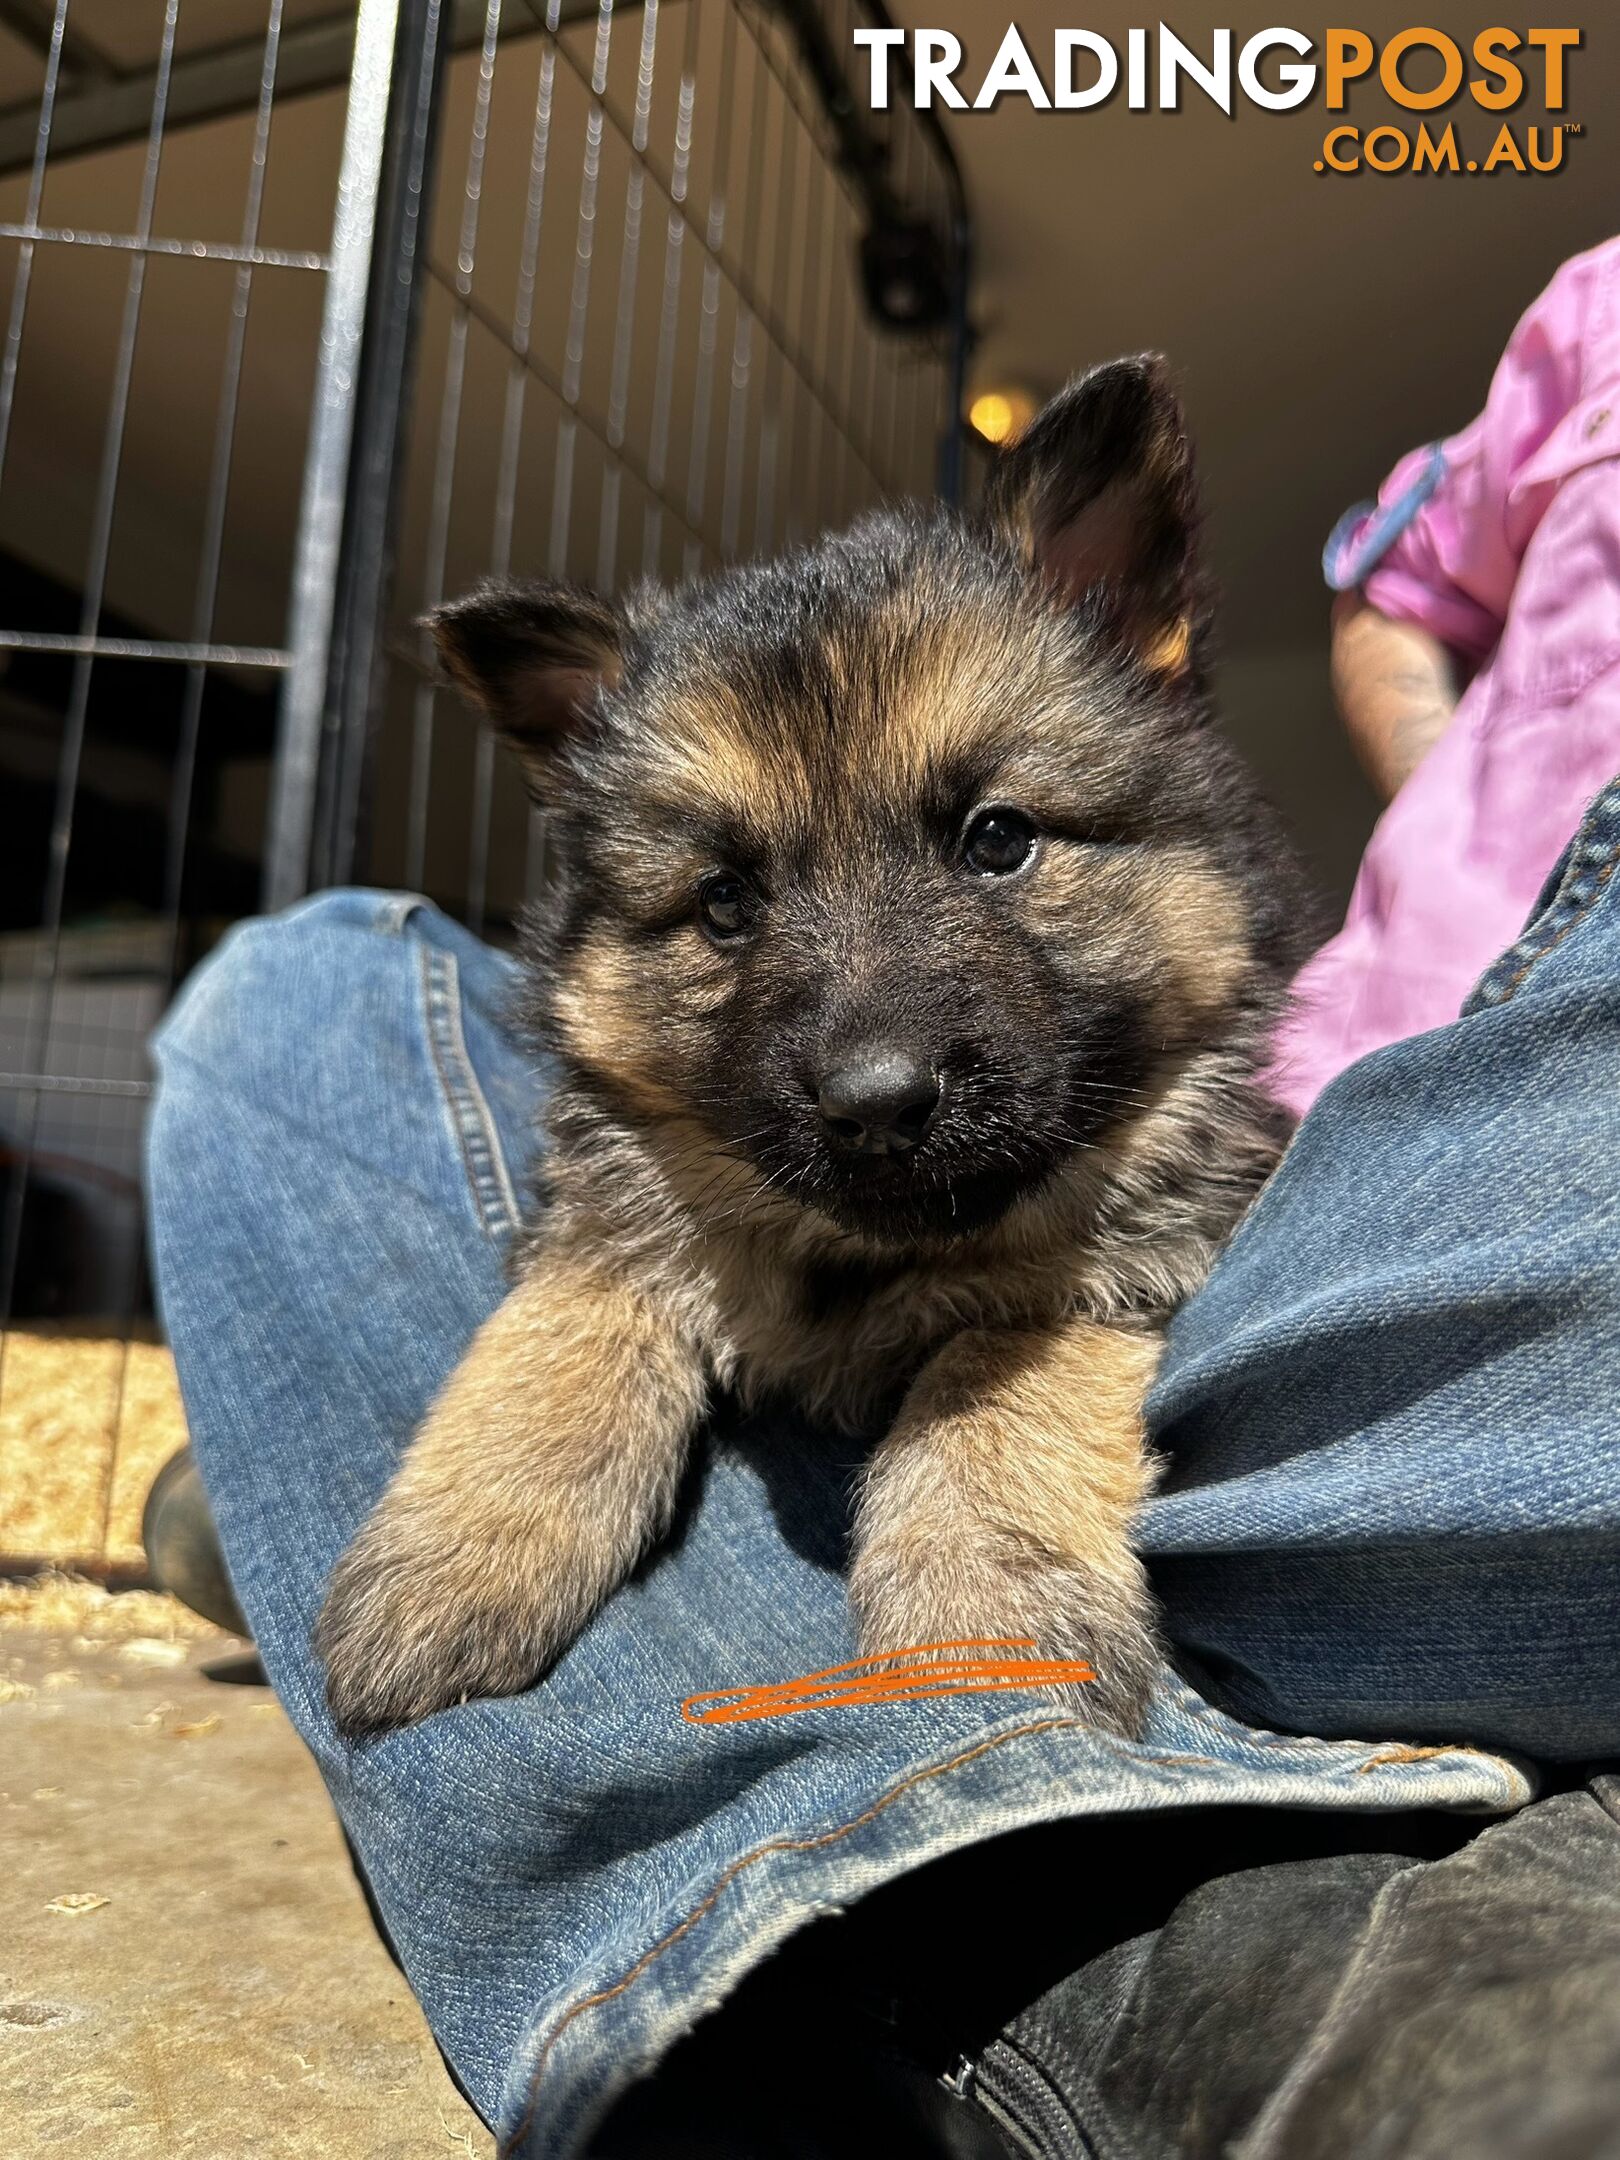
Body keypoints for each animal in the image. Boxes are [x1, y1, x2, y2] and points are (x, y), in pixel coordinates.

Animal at [317, 354, 1304, 1736]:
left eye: (1000, 839)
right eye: (726, 902)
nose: (876, 1104)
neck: (857, 1263)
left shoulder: (1146, 1253)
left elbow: (995, 1376)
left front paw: (984, 1609)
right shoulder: (607, 1216)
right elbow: (562, 1333)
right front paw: (455, 1554)